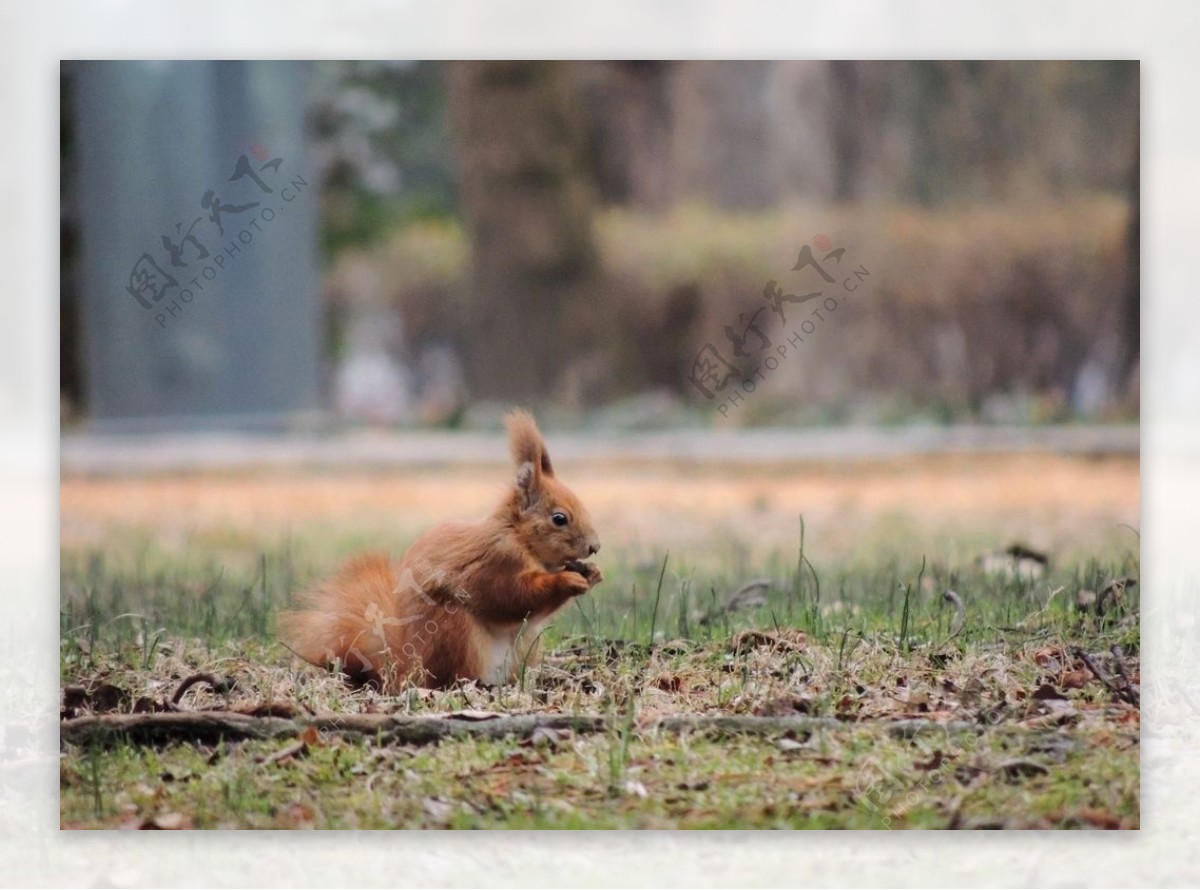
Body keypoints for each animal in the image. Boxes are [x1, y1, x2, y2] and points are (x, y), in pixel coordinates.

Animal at [278, 407, 600, 695]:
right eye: (559, 518)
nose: (595, 547)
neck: (519, 538)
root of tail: (408, 673)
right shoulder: (494, 561)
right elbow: (510, 596)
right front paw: (567, 580)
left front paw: (593, 574)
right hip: (454, 631)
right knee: (454, 676)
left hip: (525, 646)